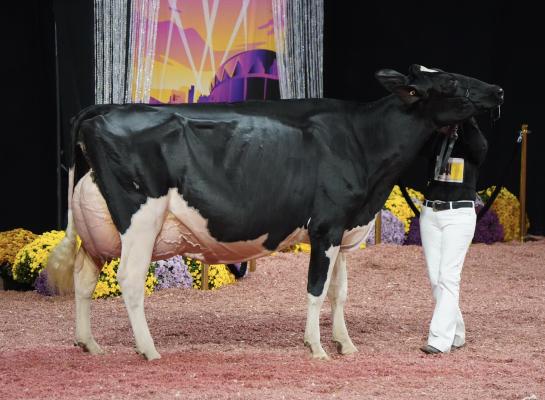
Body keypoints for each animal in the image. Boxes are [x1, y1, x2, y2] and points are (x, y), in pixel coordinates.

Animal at [45, 65, 502, 360]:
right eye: (449, 81)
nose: (497, 91)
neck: (362, 139)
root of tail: (104, 109)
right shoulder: (326, 226)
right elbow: (317, 289)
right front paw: (316, 347)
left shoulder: (344, 230)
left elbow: (339, 292)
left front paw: (346, 344)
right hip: (140, 219)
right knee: (129, 279)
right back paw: (149, 349)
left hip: (98, 226)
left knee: (84, 278)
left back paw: (89, 344)